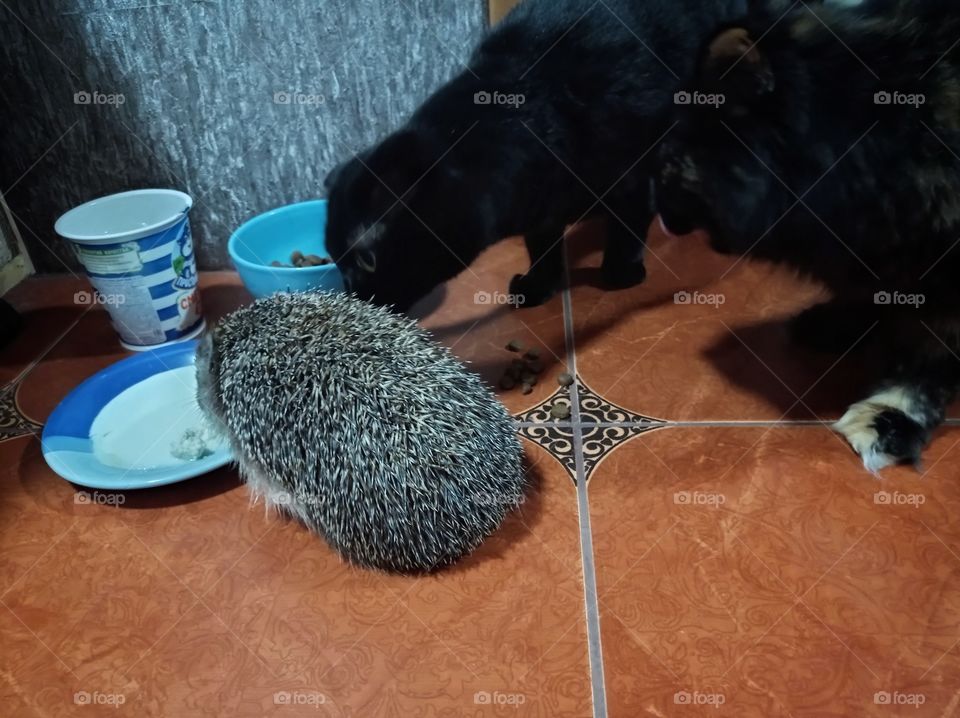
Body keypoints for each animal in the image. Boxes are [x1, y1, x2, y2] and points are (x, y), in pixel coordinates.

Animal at [326, 0, 752, 312]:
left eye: (367, 261)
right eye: (333, 257)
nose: (352, 294)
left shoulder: (634, 172)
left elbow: (627, 224)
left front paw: (620, 272)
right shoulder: (540, 205)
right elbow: (541, 245)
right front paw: (539, 285)